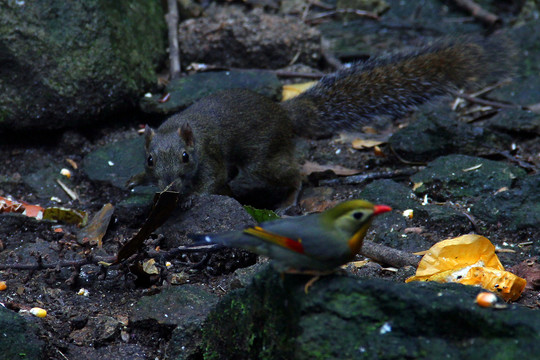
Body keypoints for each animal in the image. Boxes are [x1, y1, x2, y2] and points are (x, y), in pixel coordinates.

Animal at [133, 36, 512, 208]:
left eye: (185, 157)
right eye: (149, 160)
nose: (167, 185)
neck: (185, 128)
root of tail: (283, 114)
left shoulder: (210, 155)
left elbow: (213, 181)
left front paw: (189, 198)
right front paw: (148, 188)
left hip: (264, 158)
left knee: (294, 173)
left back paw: (288, 200)